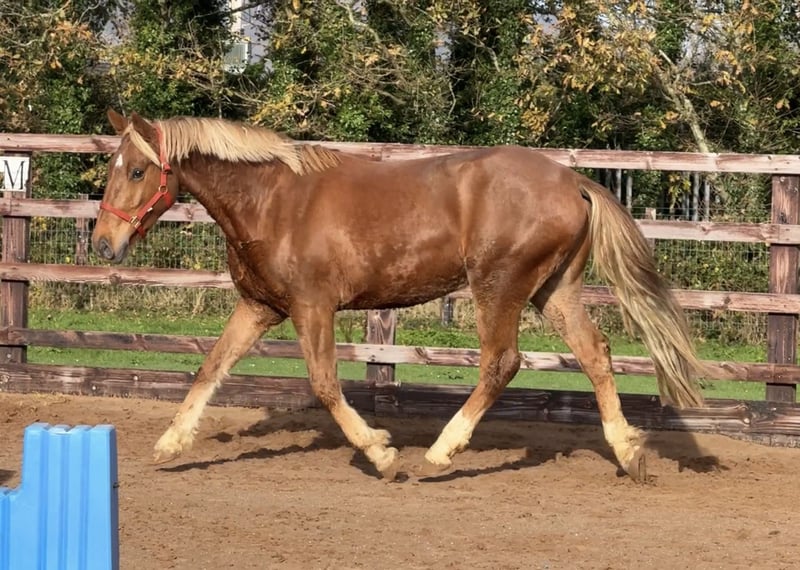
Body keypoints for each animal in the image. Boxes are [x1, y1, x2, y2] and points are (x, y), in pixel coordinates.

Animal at [91, 109, 704, 482]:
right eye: (113, 166)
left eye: (139, 170)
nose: (102, 243)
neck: (274, 204)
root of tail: (573, 180)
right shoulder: (259, 307)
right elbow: (210, 368)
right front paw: (171, 444)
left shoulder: (313, 308)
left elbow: (325, 385)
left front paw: (382, 453)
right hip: (554, 290)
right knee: (595, 353)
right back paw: (629, 453)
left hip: (499, 285)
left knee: (501, 362)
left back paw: (440, 451)